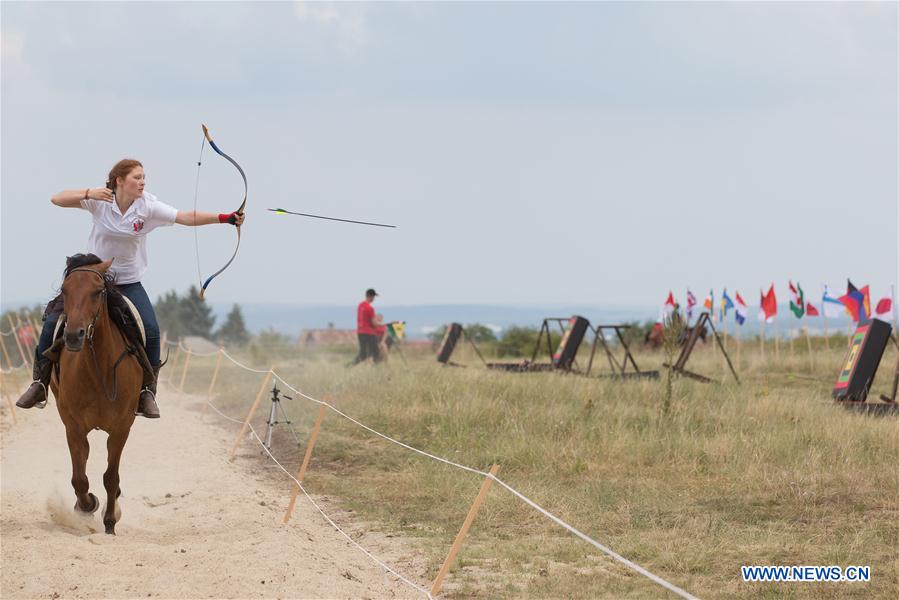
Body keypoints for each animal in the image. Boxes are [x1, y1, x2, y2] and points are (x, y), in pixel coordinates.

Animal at [50, 256, 144, 535]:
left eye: (97, 291)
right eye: (65, 290)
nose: (73, 335)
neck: (98, 366)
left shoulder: (122, 428)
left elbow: (111, 478)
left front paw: (110, 521)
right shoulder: (73, 426)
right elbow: (79, 479)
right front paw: (88, 505)